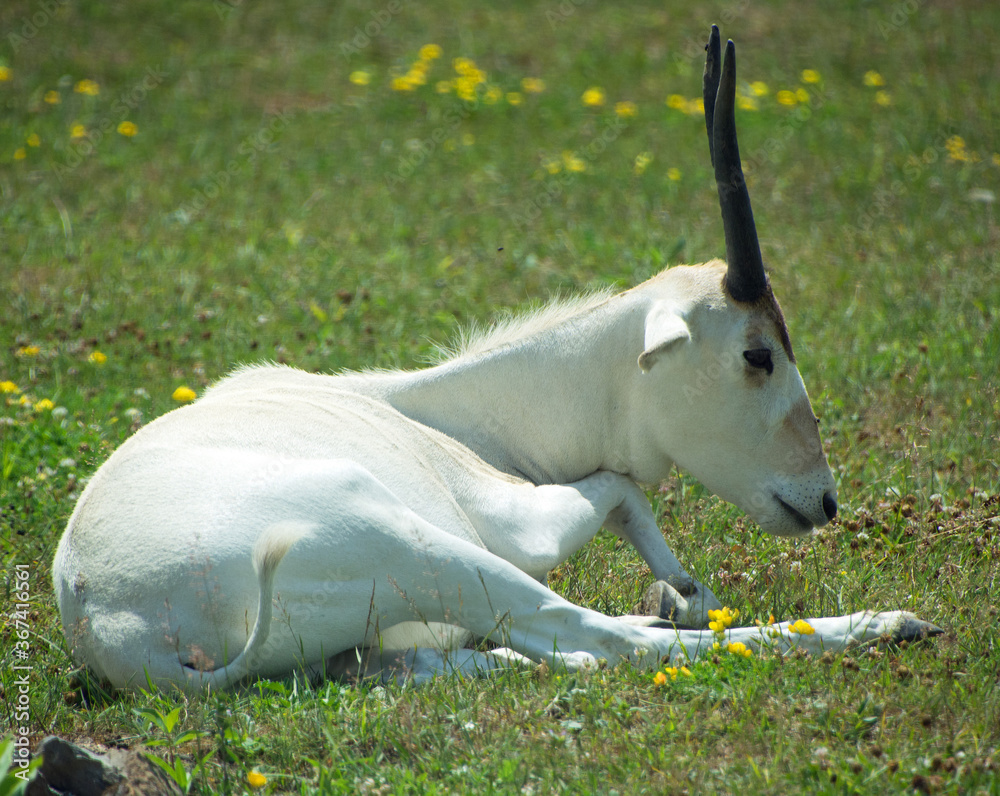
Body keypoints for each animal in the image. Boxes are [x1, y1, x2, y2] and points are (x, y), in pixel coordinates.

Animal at [53, 26, 940, 693]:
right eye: (758, 354)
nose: (823, 500)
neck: (458, 410)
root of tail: (116, 622)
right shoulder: (518, 519)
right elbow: (618, 486)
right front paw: (685, 593)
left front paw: (681, 590)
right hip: (424, 545)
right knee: (599, 640)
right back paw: (890, 623)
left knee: (487, 656)